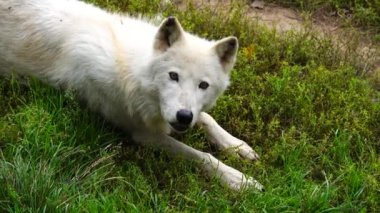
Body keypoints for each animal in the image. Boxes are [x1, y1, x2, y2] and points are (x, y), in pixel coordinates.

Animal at [0, 0, 262, 190]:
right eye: (173, 76)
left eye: (203, 85)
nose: (184, 116)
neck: (134, 73)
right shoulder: (143, 134)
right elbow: (202, 156)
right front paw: (239, 180)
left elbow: (207, 118)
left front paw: (236, 145)